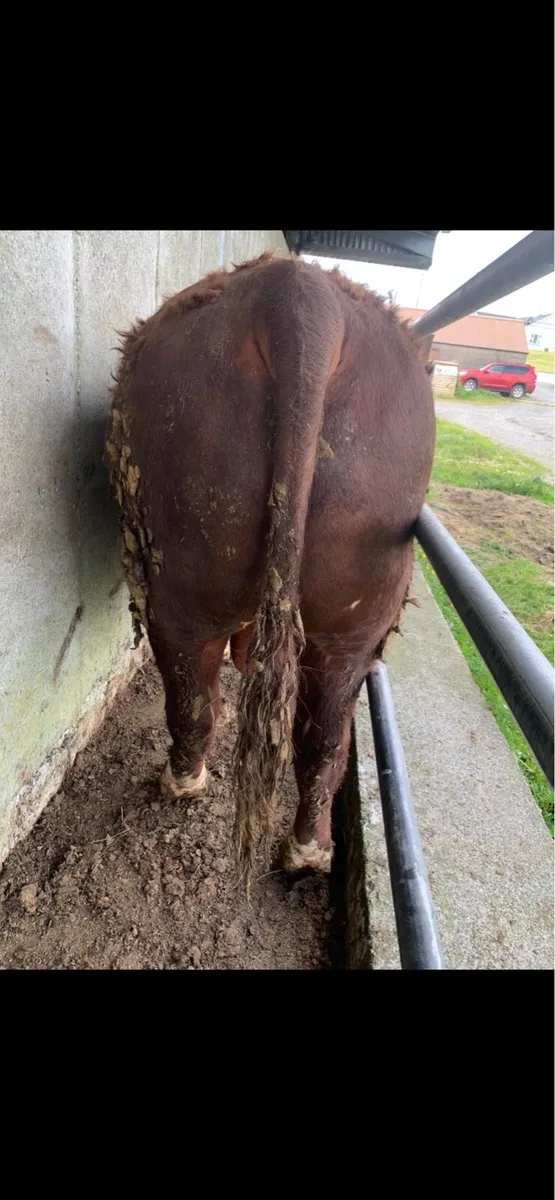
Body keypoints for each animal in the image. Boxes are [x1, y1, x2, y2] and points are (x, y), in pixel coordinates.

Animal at [105, 251, 435, 891]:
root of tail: (300, 299)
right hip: (351, 621)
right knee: (323, 739)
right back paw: (307, 852)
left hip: (181, 577)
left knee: (194, 699)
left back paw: (183, 782)